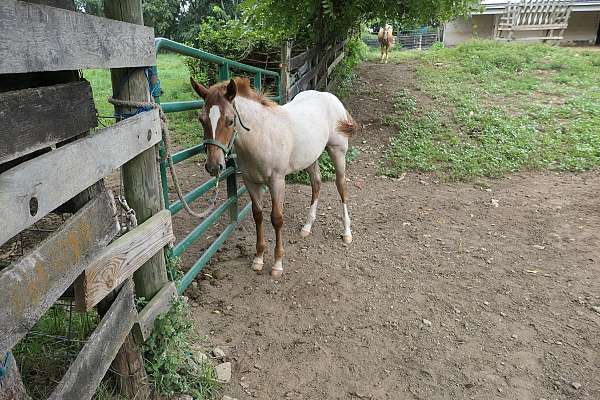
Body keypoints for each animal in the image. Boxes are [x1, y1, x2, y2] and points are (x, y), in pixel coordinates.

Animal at [191, 78, 356, 278]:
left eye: (230, 121)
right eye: (201, 120)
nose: (214, 166)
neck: (261, 136)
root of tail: (330, 97)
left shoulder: (277, 181)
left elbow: (276, 219)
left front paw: (277, 264)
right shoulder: (251, 182)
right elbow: (258, 215)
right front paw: (258, 259)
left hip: (338, 151)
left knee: (341, 186)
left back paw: (347, 232)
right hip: (310, 157)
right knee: (316, 183)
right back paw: (307, 227)